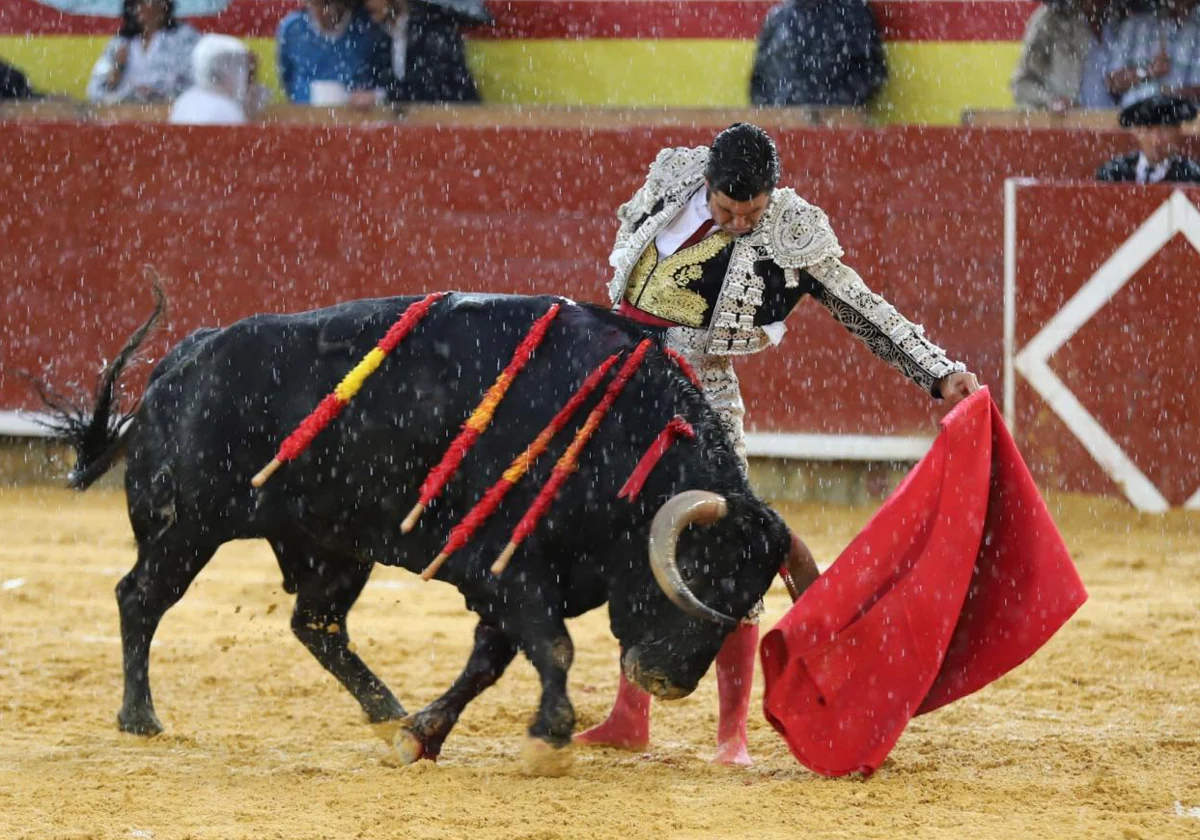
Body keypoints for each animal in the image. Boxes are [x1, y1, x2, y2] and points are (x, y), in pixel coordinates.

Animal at [46, 290, 816, 768]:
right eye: (703, 572)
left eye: (750, 593)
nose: (668, 681)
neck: (626, 446)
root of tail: (183, 358)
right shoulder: (505, 567)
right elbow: (552, 648)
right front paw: (547, 738)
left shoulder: (515, 582)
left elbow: (491, 660)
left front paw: (420, 736)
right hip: (188, 528)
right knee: (140, 597)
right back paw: (140, 717)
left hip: (333, 546)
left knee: (316, 624)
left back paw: (385, 709)